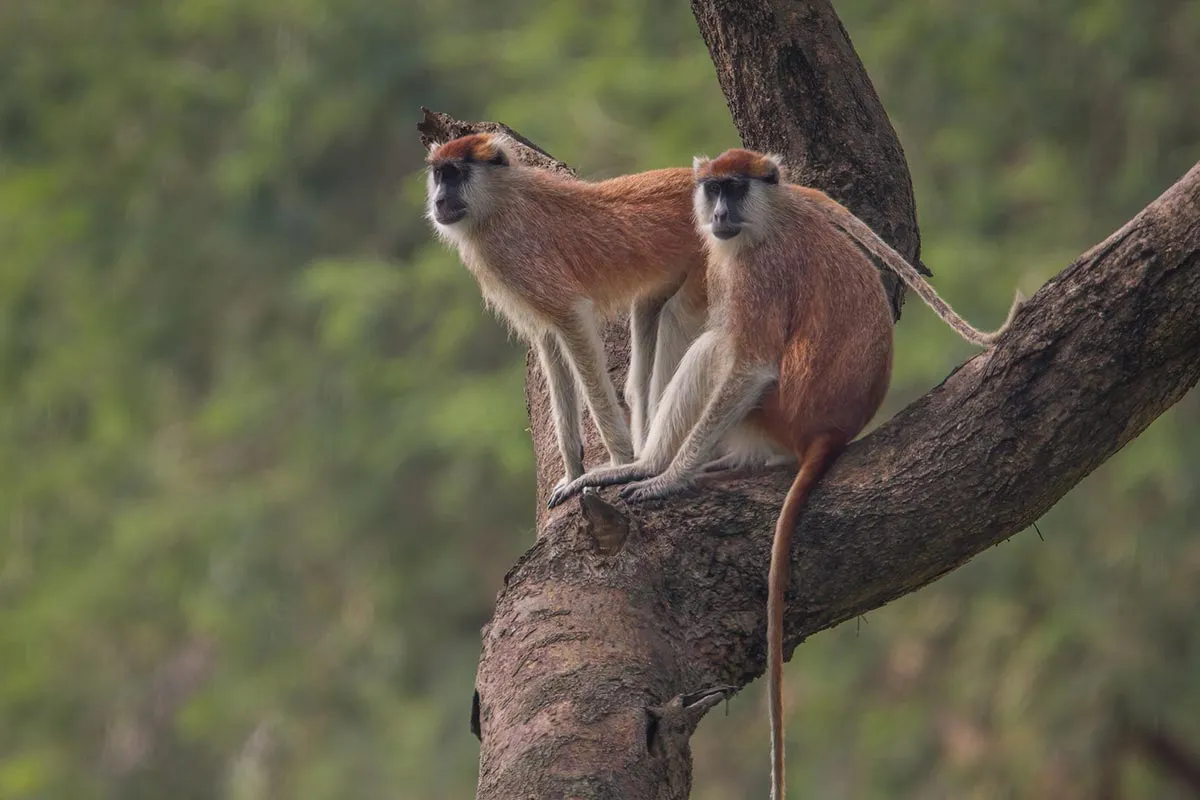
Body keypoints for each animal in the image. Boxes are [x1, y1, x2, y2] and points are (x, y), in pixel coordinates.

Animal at [427, 131, 705, 496]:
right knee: (647, 313)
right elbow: (548, 341)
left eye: (455, 174)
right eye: (438, 175)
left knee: (678, 316)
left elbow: (571, 319)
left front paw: (619, 462)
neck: (499, 201)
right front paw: (573, 473)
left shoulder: (509, 251)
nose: (439, 201)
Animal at [549, 149, 1022, 800]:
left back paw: (653, 465)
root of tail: (831, 432)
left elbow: (746, 362)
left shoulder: (756, 274)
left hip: (782, 408)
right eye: (713, 188)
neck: (768, 220)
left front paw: (663, 477)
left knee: (717, 347)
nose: (719, 212)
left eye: (734, 188)